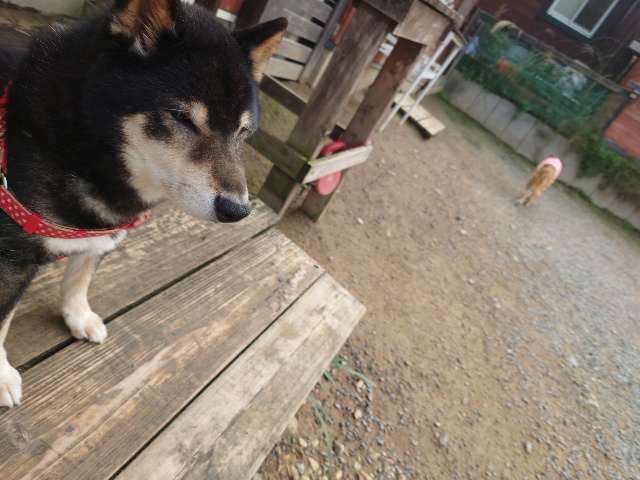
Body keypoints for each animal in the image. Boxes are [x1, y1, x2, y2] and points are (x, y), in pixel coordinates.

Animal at [0, 0, 287, 408]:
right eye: (182, 118)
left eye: (242, 132)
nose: (237, 210)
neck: (81, 145)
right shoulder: (12, 255)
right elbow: (3, 317)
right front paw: (2, 376)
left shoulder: (104, 230)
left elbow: (80, 277)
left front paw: (78, 315)